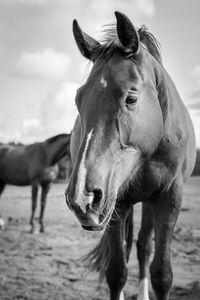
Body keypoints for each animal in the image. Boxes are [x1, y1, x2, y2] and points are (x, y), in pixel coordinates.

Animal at [65, 11, 195, 300]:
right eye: (78, 99)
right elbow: (116, 273)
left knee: (144, 246)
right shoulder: (118, 201)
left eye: (131, 99)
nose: (82, 197)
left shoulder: (170, 197)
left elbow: (162, 274)